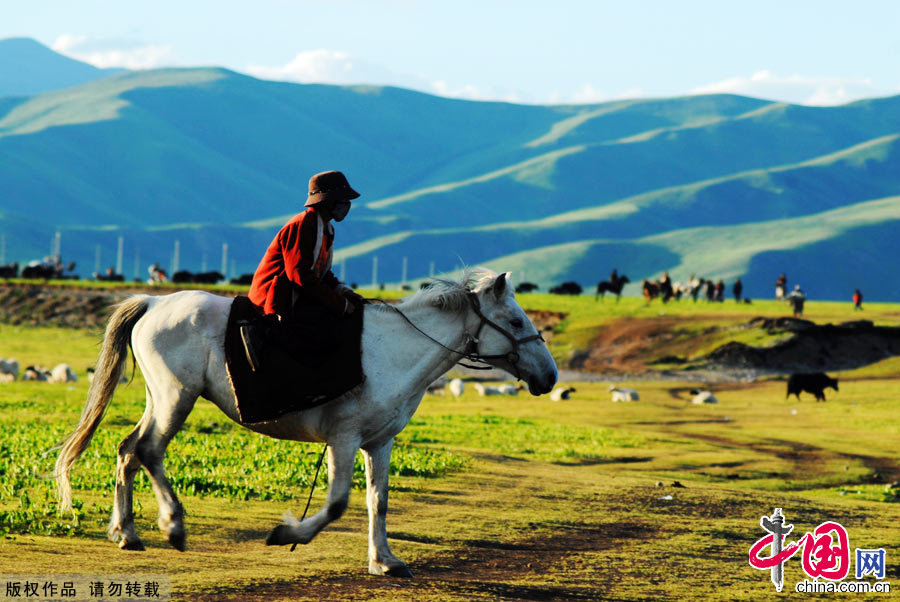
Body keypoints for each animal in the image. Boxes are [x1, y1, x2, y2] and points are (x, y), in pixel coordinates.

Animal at [54, 270, 556, 576]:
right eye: (515, 320)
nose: (549, 377)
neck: (396, 350)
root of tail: (153, 303)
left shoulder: (380, 443)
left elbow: (378, 502)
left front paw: (385, 560)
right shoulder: (344, 439)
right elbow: (337, 504)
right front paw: (288, 535)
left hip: (159, 398)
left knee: (127, 450)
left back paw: (126, 533)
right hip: (177, 398)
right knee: (149, 451)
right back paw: (171, 526)